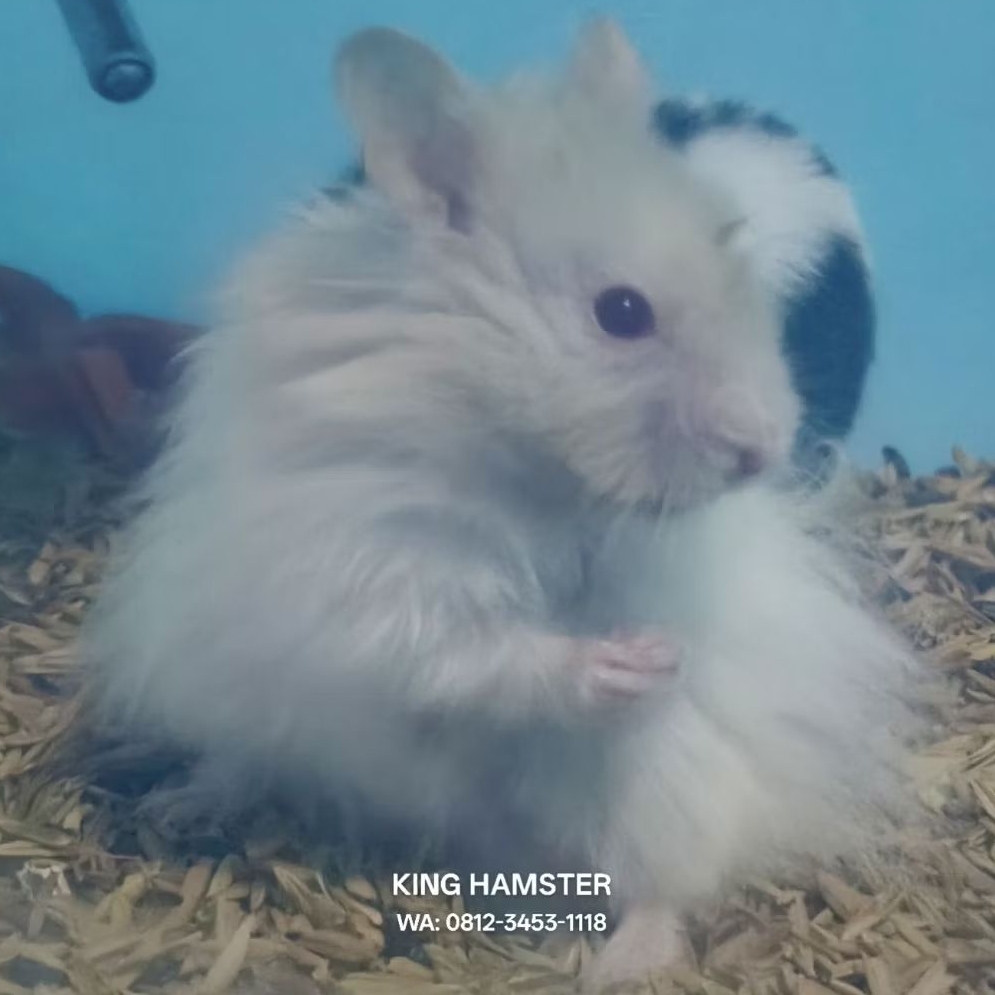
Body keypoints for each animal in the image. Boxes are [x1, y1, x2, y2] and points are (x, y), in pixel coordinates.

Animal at [81, 21, 921, 991]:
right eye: (621, 311)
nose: (761, 452)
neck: (514, 449)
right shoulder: (377, 576)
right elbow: (472, 651)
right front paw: (625, 662)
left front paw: (655, 657)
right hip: (239, 696)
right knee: (250, 762)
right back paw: (180, 801)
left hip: (661, 793)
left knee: (665, 886)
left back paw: (614, 964)